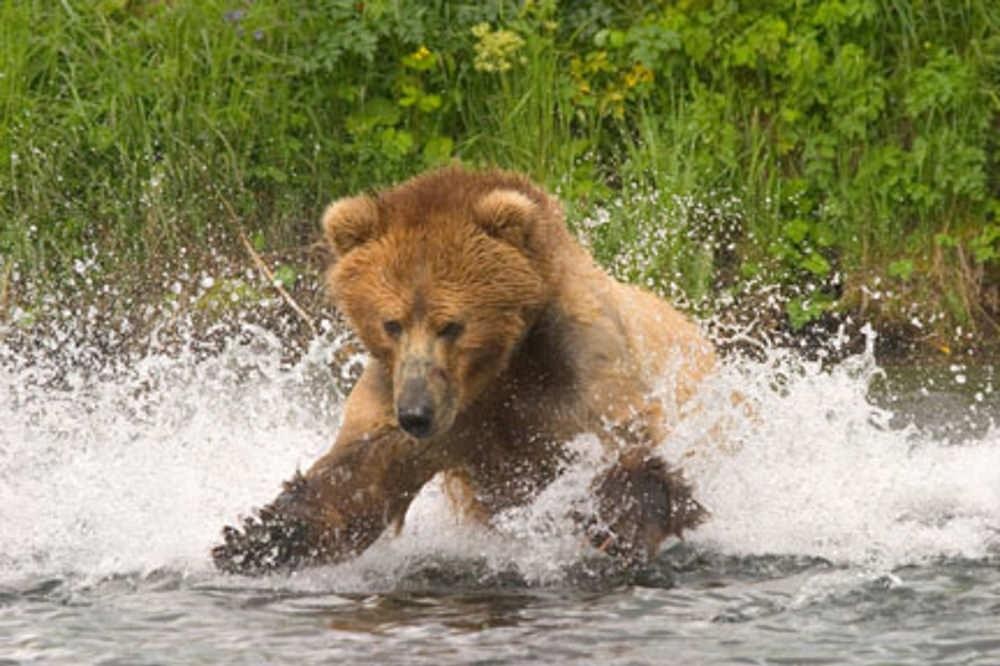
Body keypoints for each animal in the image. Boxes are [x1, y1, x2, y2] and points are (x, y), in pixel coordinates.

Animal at [215, 165, 716, 572]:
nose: (416, 414)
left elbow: (628, 451)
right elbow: (359, 477)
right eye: (391, 323)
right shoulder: (419, 403)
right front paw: (254, 540)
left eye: (451, 325)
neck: (501, 368)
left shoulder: (582, 368)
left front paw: (618, 528)